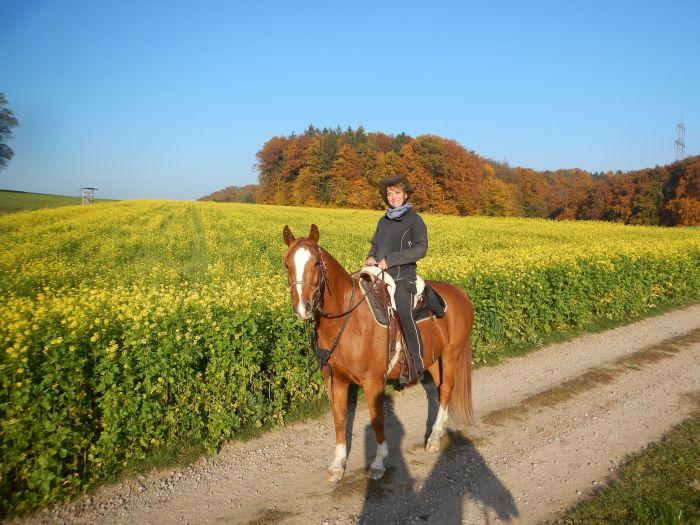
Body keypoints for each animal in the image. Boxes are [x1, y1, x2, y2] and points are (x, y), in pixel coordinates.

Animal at [282, 223, 474, 482]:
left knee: (446, 389)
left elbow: (377, 420)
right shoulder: (336, 380)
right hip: (433, 359)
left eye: (316, 264)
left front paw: (378, 462)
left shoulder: (372, 382)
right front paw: (338, 464)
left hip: (452, 354)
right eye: (287, 264)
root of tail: (461, 292)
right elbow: (340, 418)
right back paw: (440, 429)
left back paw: (433, 438)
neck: (349, 319)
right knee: (440, 387)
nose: (303, 308)